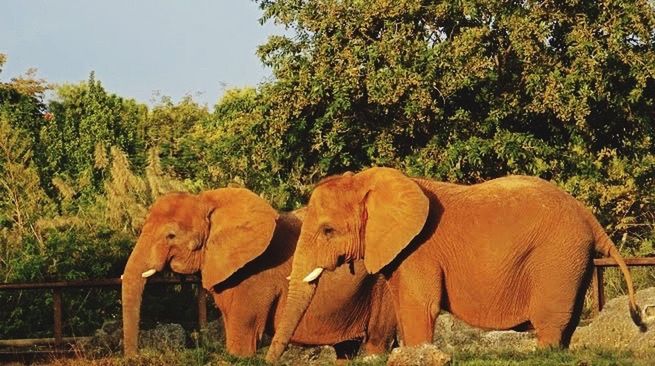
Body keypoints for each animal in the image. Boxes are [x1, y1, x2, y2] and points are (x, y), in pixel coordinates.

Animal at [121, 189, 398, 358]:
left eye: (171, 235)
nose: (134, 356)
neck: (209, 203)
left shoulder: (255, 278)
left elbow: (242, 340)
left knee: (376, 341)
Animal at [264, 167, 644, 362]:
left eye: (328, 231)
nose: (269, 359)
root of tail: (589, 216)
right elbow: (404, 309)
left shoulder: (420, 250)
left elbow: (419, 309)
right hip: (572, 258)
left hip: (557, 255)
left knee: (551, 320)